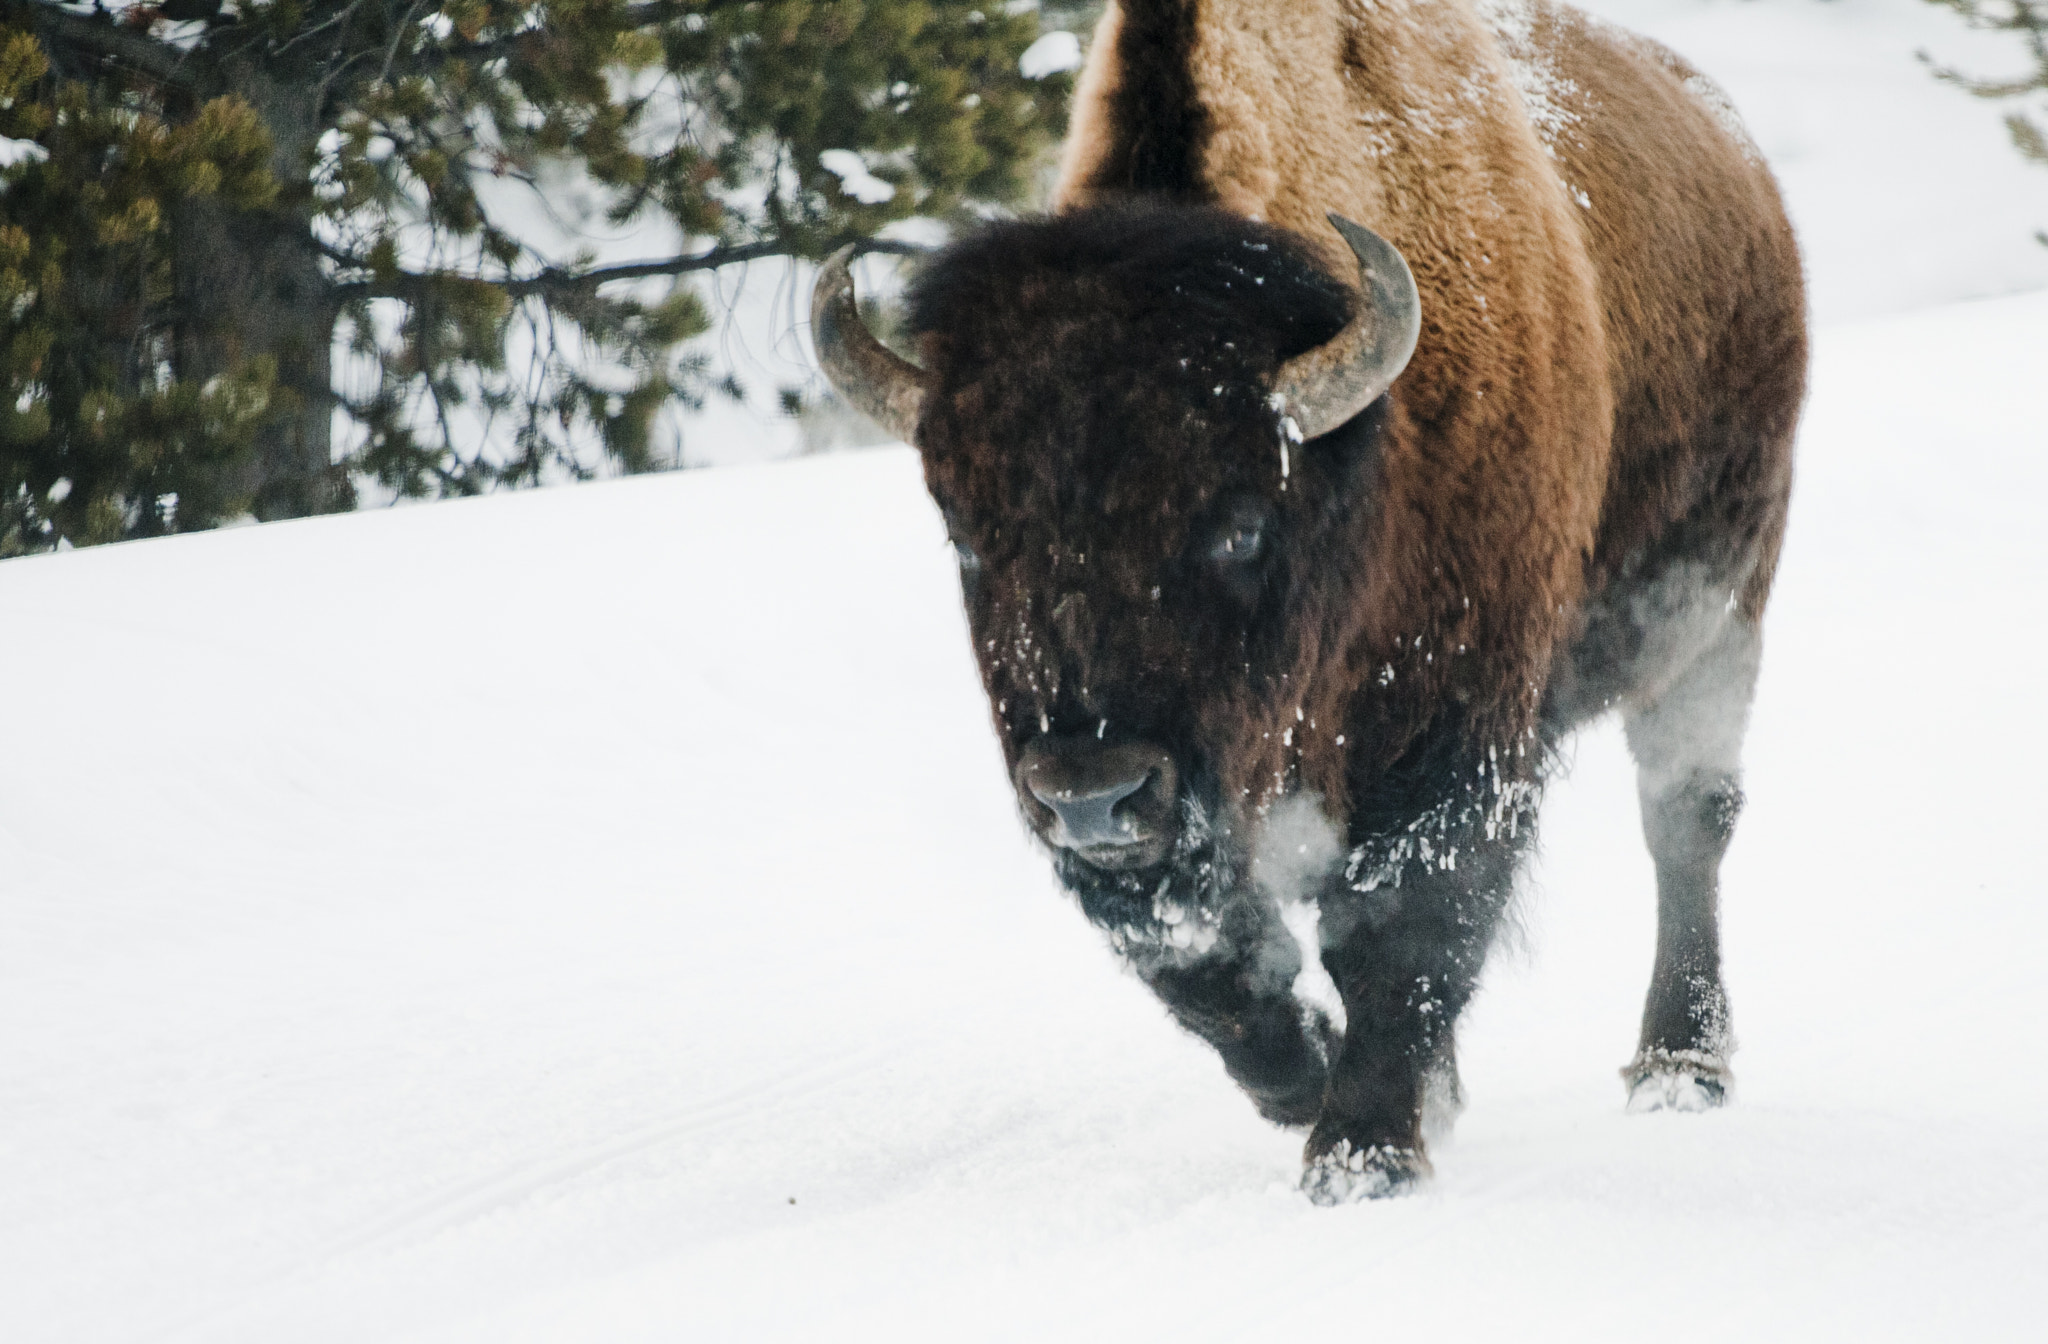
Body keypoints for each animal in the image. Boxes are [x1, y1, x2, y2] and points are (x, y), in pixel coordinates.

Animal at [812, 0, 1804, 1202]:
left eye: (1240, 525)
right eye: (964, 532)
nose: (1093, 795)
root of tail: (1736, 155)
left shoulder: (1451, 729)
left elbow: (1396, 922)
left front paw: (1363, 1155)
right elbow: (1210, 959)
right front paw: (1332, 1088)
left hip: (1715, 609)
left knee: (1686, 821)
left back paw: (1679, 1068)